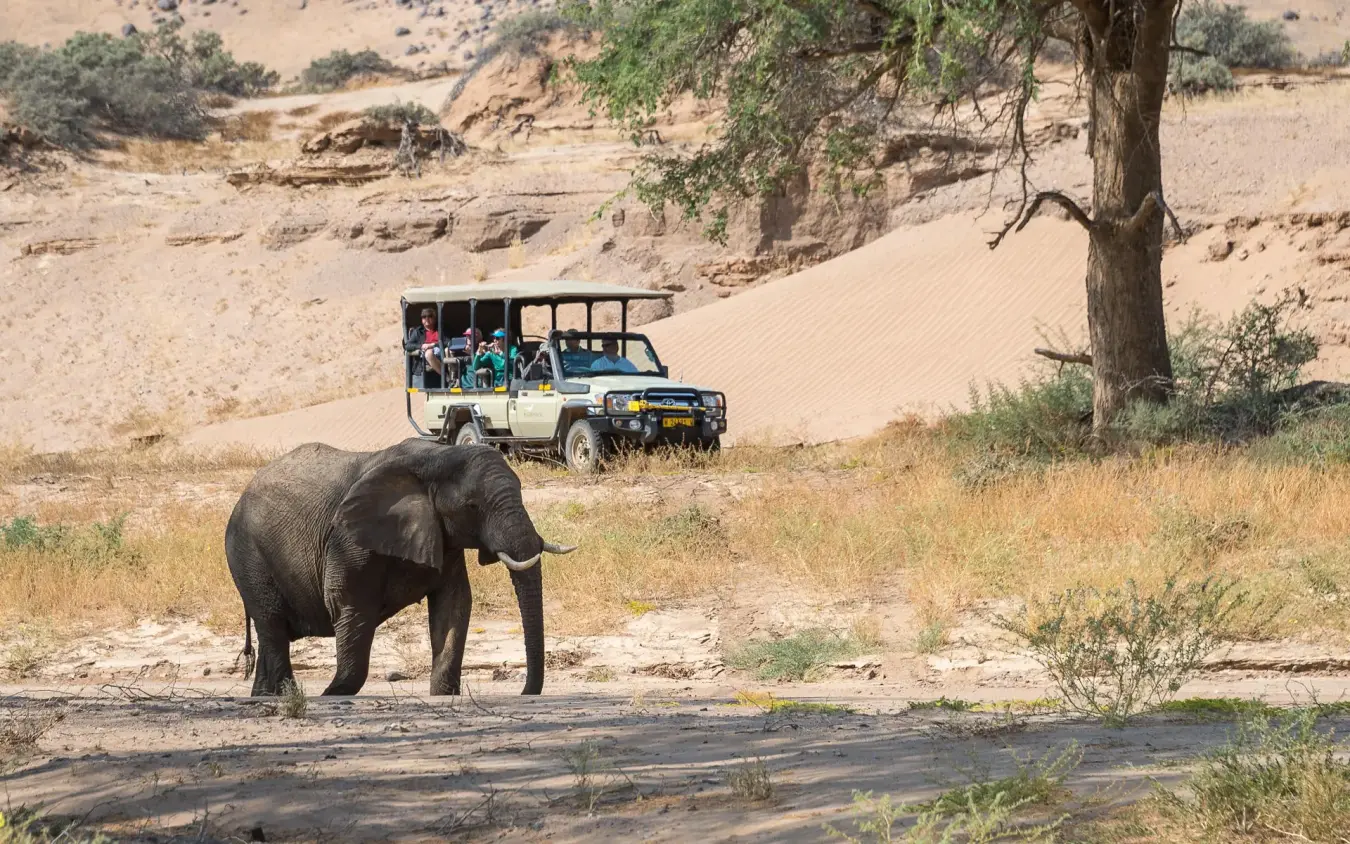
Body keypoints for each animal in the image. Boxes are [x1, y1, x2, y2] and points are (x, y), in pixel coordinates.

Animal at [224, 438, 575, 697]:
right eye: (473, 506)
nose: (524, 693)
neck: (438, 456)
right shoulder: (349, 539)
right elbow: (350, 604)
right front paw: (332, 694)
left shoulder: (442, 537)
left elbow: (454, 604)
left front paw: (443, 694)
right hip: (247, 553)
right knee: (272, 624)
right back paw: (286, 696)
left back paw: (264, 696)